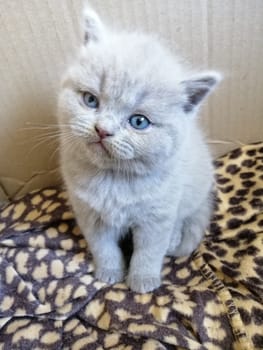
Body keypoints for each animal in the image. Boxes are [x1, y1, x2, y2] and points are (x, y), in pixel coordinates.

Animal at [57, 7, 221, 292]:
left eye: (139, 122)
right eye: (90, 100)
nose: (102, 130)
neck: (113, 180)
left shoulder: (157, 218)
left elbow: (149, 252)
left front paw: (143, 282)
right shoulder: (90, 215)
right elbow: (103, 248)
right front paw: (109, 273)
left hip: (192, 193)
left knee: (181, 219)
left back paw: (174, 240)